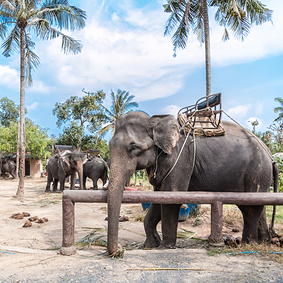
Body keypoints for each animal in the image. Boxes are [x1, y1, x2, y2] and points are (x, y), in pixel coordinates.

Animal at [106, 110, 280, 255]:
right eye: (109, 145)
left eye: (133, 147)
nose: (120, 250)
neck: (156, 120)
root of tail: (270, 155)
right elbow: (159, 197)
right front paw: (150, 245)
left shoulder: (180, 158)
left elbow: (171, 197)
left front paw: (166, 247)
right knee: (257, 206)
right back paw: (263, 243)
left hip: (257, 171)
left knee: (250, 208)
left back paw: (248, 244)